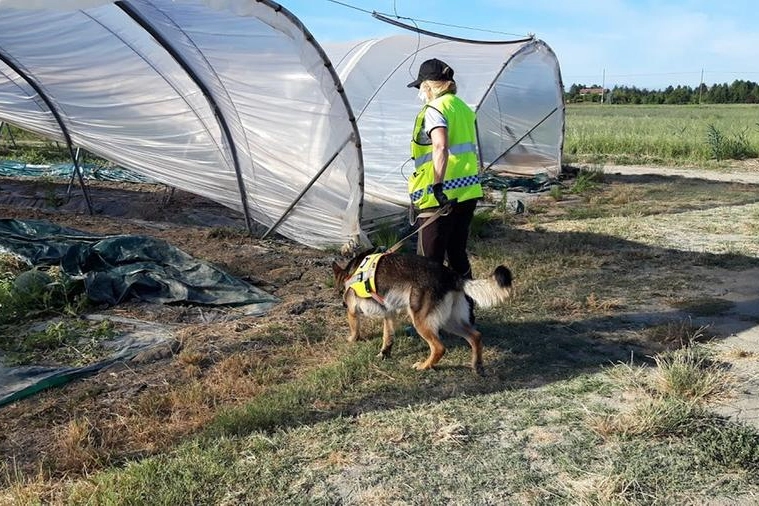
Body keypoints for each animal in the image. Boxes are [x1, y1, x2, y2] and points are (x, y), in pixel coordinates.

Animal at [332, 250, 512, 376]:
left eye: (341, 292)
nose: (342, 303)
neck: (351, 273)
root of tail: (452, 275)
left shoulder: (352, 310)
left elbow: (355, 328)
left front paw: (351, 340)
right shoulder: (389, 314)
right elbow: (387, 337)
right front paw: (384, 353)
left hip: (420, 321)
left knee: (439, 348)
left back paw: (425, 366)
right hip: (450, 322)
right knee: (475, 336)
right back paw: (477, 365)